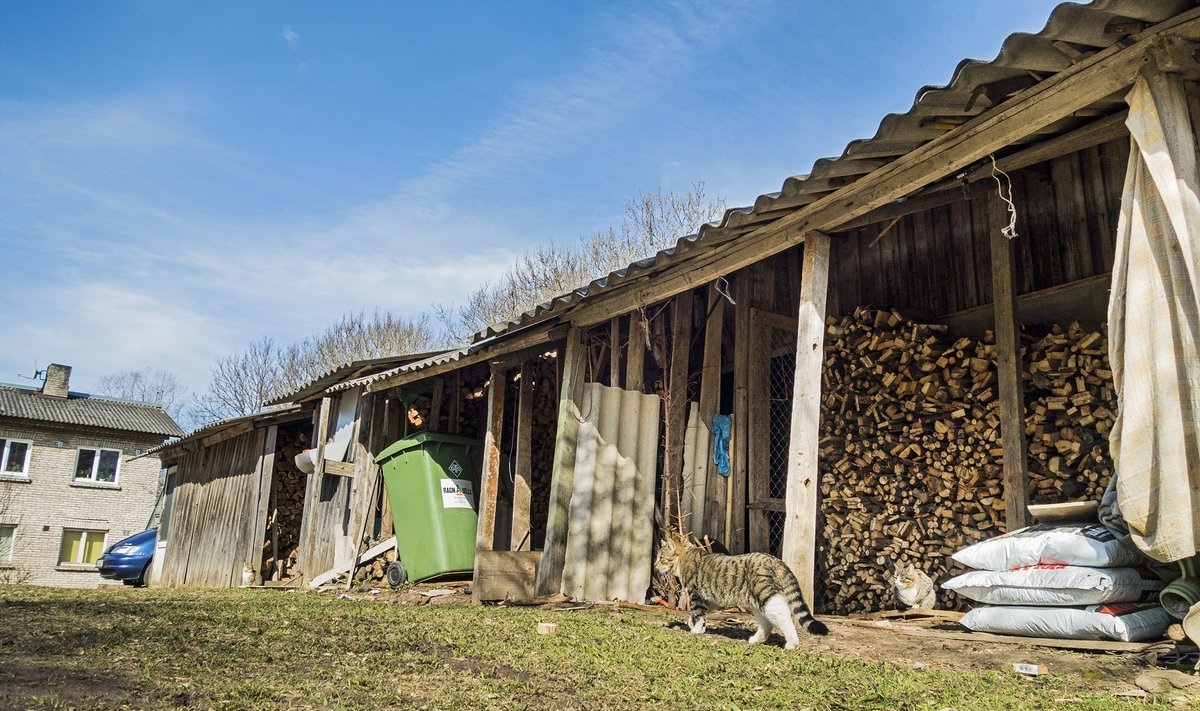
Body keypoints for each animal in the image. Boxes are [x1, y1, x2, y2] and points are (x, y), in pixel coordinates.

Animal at [657, 538, 825, 648]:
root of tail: (774, 559)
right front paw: (695, 624)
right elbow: (699, 614)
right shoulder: (711, 600)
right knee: (766, 623)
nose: (655, 566)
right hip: (756, 602)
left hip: (764, 593)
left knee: (781, 614)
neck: (683, 558)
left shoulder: (696, 593)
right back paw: (756, 639)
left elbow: (698, 612)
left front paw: (697, 629)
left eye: (661, 558)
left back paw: (792, 643)